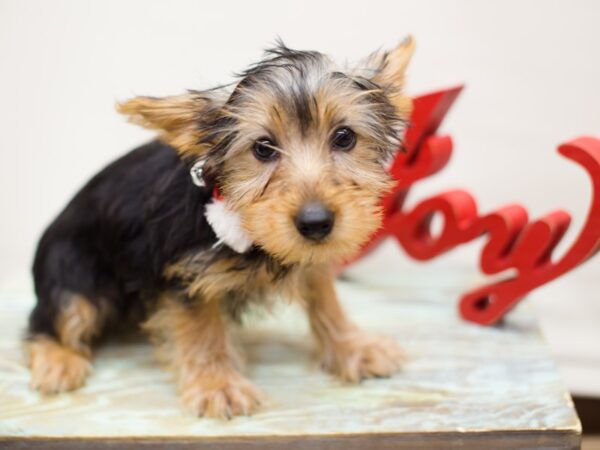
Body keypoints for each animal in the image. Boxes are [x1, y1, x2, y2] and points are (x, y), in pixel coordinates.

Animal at [25, 37, 414, 418]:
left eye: (344, 137)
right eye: (263, 148)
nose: (316, 222)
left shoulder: (310, 258)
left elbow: (325, 298)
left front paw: (352, 346)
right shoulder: (185, 274)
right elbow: (202, 328)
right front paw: (217, 385)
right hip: (71, 274)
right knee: (50, 318)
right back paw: (59, 358)